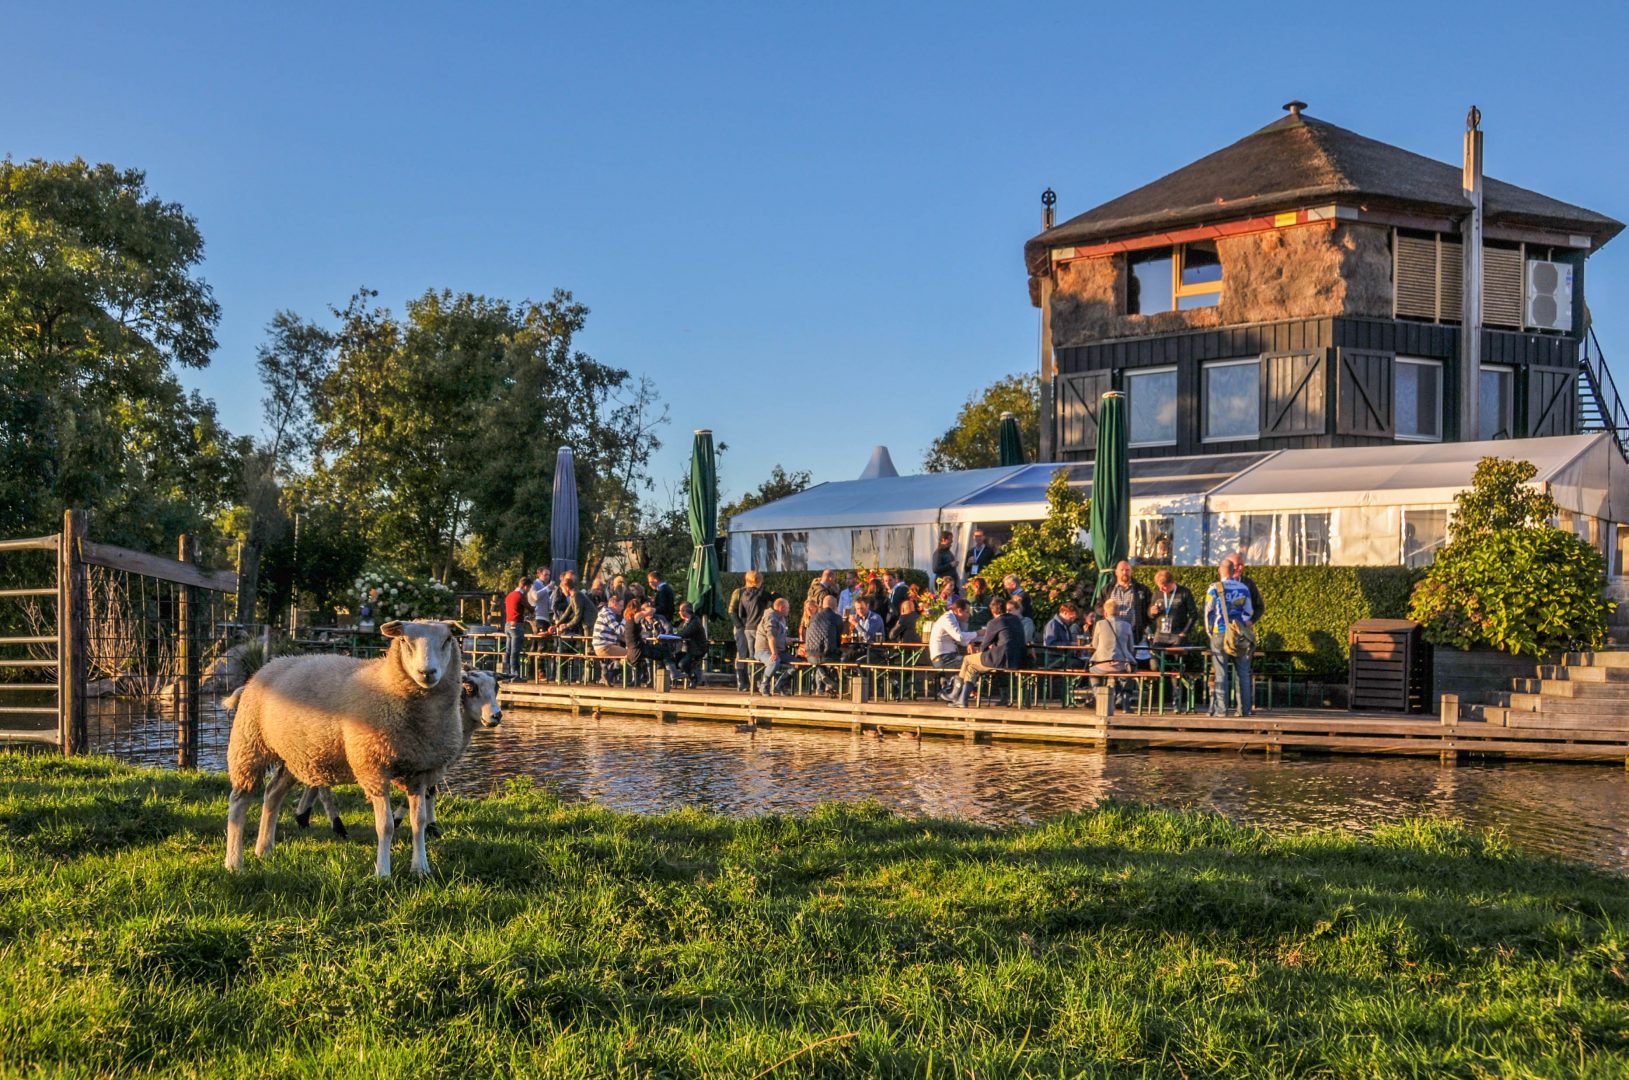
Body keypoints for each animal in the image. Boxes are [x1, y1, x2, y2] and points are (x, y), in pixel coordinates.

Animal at [224, 615, 465, 879]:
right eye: (404, 641)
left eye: (447, 640)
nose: (427, 672)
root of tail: (264, 668)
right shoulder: (373, 768)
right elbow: (386, 826)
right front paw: (383, 872)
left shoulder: (420, 771)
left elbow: (418, 822)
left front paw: (421, 868)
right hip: (250, 746)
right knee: (239, 802)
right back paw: (234, 862)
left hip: (294, 756)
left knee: (272, 793)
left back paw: (264, 849)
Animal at [288, 667, 501, 834]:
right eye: (471, 688)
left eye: (497, 688)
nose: (497, 716)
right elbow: (425, 792)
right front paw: (404, 821)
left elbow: (430, 791)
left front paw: (430, 827)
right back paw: (335, 824)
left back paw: (304, 817)